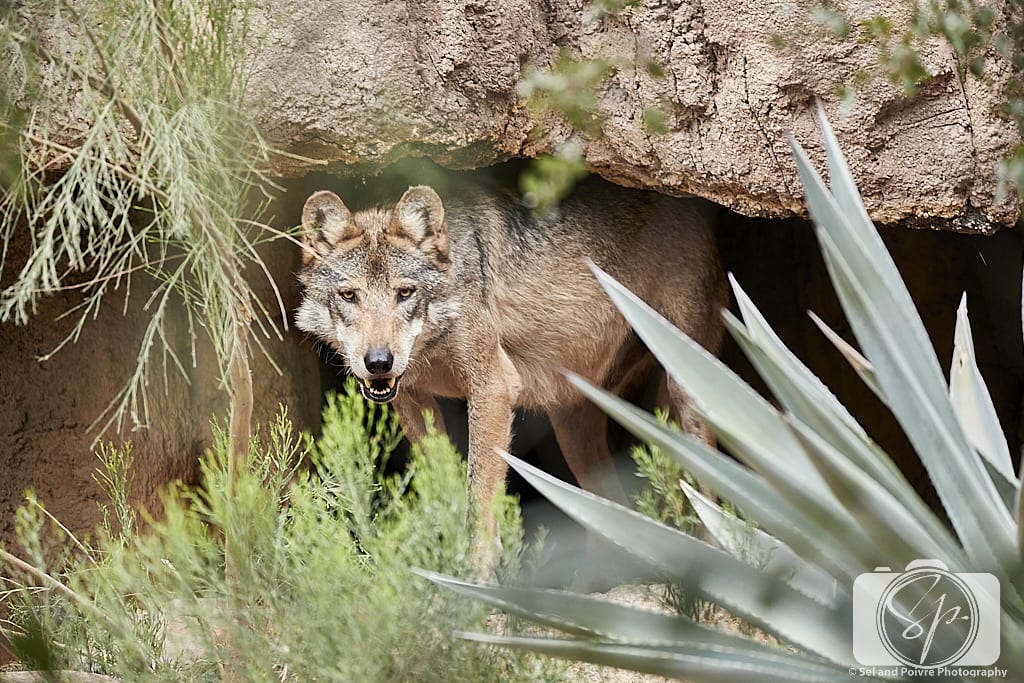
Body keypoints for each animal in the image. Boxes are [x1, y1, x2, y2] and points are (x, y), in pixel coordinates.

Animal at [295, 179, 726, 543]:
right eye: (349, 296)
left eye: (405, 293)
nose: (379, 362)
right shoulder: (412, 401)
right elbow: (447, 487)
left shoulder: (493, 388)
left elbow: (479, 504)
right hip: (574, 430)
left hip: (686, 390)